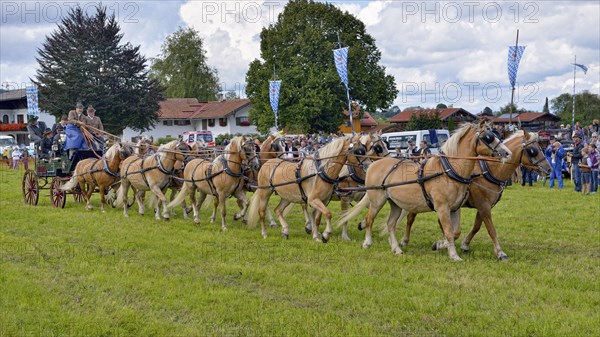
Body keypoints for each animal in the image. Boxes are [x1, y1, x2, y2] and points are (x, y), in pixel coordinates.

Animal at [338, 122, 510, 262]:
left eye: (496, 134)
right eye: (488, 137)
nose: (508, 153)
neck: (449, 170)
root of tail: (374, 165)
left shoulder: (455, 209)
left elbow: (455, 232)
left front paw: (439, 245)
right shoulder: (442, 208)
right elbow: (449, 232)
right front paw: (454, 255)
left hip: (395, 204)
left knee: (391, 224)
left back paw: (397, 249)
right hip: (377, 201)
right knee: (369, 219)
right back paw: (367, 243)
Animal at [400, 129, 552, 260]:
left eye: (541, 147)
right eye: (533, 150)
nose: (549, 168)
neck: (490, 170)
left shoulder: (484, 206)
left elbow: (477, 226)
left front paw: (464, 245)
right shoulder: (484, 206)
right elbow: (491, 229)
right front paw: (500, 252)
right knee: (410, 218)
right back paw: (405, 240)